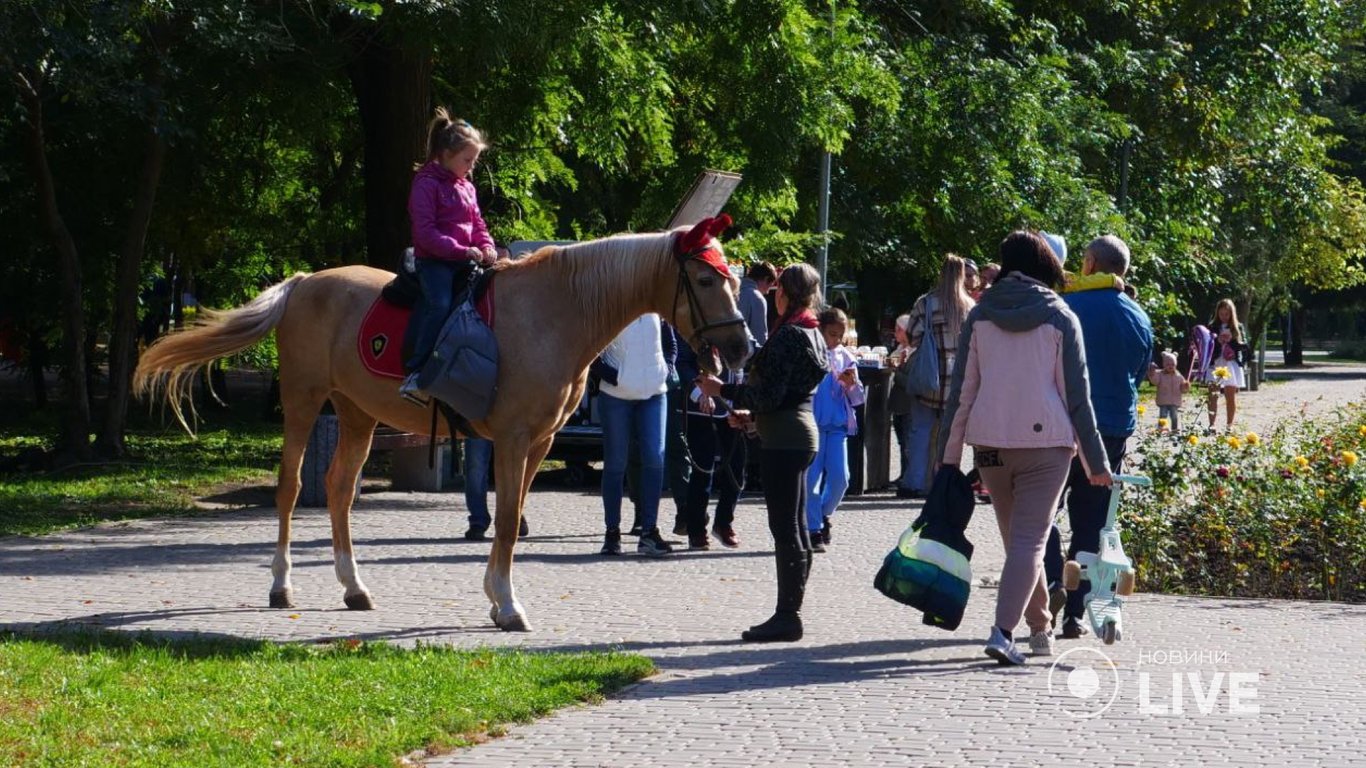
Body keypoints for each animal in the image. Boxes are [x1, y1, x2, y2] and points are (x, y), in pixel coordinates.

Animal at [130, 221, 748, 628]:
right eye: (705, 280)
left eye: (733, 281)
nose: (742, 346)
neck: (553, 313)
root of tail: (303, 282)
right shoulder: (514, 439)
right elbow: (505, 521)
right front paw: (508, 605)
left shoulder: (540, 440)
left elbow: (512, 518)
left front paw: (496, 597)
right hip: (304, 403)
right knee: (289, 489)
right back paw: (282, 586)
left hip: (355, 412)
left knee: (338, 490)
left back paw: (353, 587)